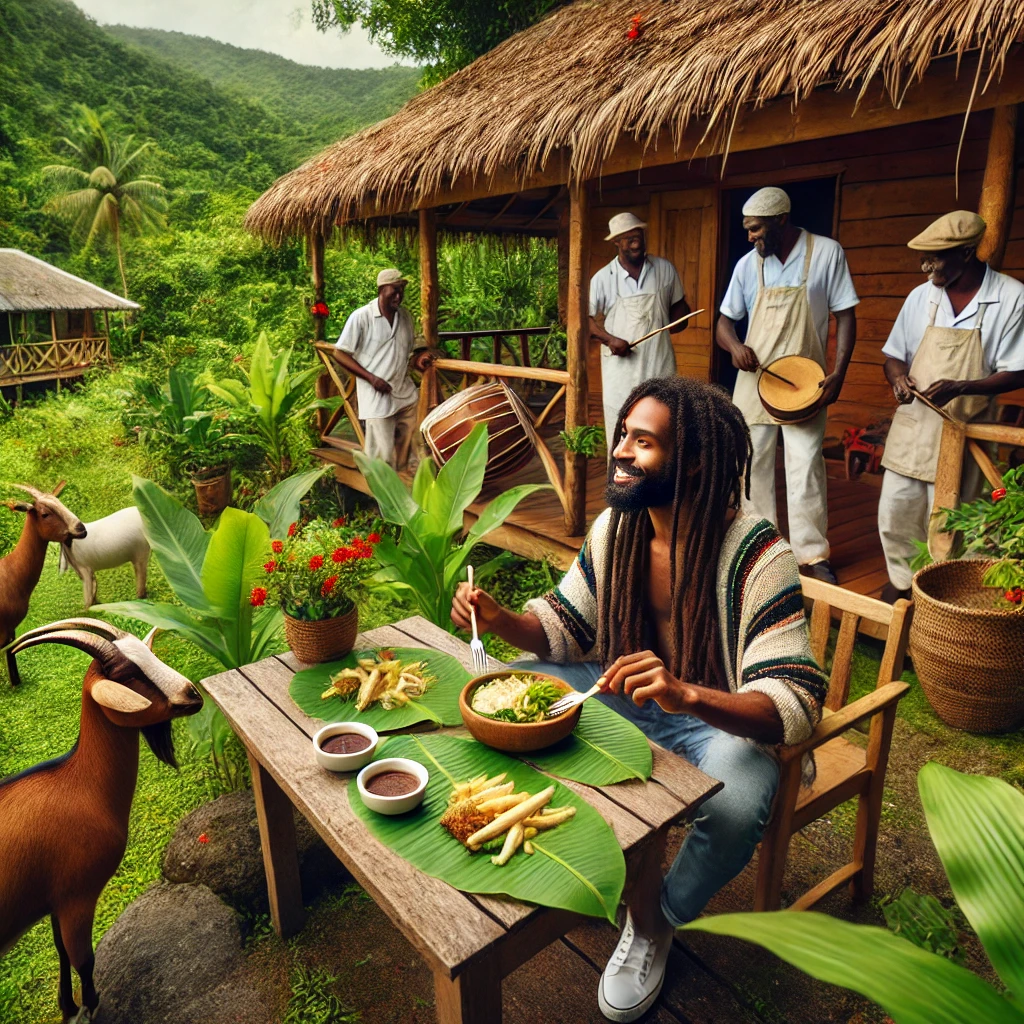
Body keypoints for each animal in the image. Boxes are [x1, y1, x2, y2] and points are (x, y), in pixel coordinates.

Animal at [0, 618, 202, 1019]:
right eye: (128, 675)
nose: (192, 695)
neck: (77, 785)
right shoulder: (78, 896)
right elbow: (84, 959)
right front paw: (91, 1006)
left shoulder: (55, 901)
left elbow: (61, 952)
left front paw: (67, 1007)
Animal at [1, 483, 86, 684]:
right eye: (45, 513)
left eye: (61, 503)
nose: (81, 528)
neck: (10, 573)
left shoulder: (10, 630)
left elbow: (11, 654)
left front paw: (16, 683)